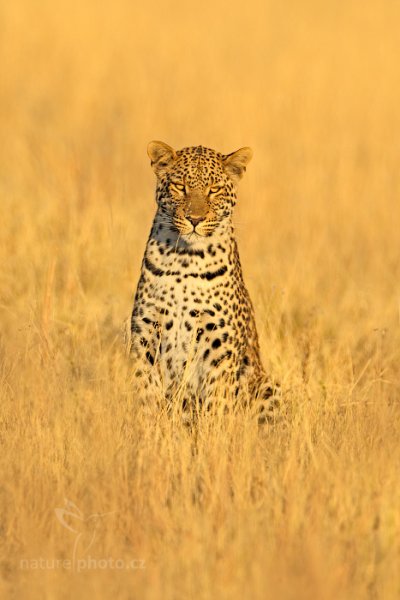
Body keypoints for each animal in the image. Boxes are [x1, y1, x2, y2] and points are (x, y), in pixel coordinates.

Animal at [129, 142, 278, 422]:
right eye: (180, 186)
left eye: (215, 189)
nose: (195, 219)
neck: (185, 260)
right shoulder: (146, 333)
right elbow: (144, 391)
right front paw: (146, 427)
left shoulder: (219, 341)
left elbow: (217, 400)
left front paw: (214, 431)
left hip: (267, 384)